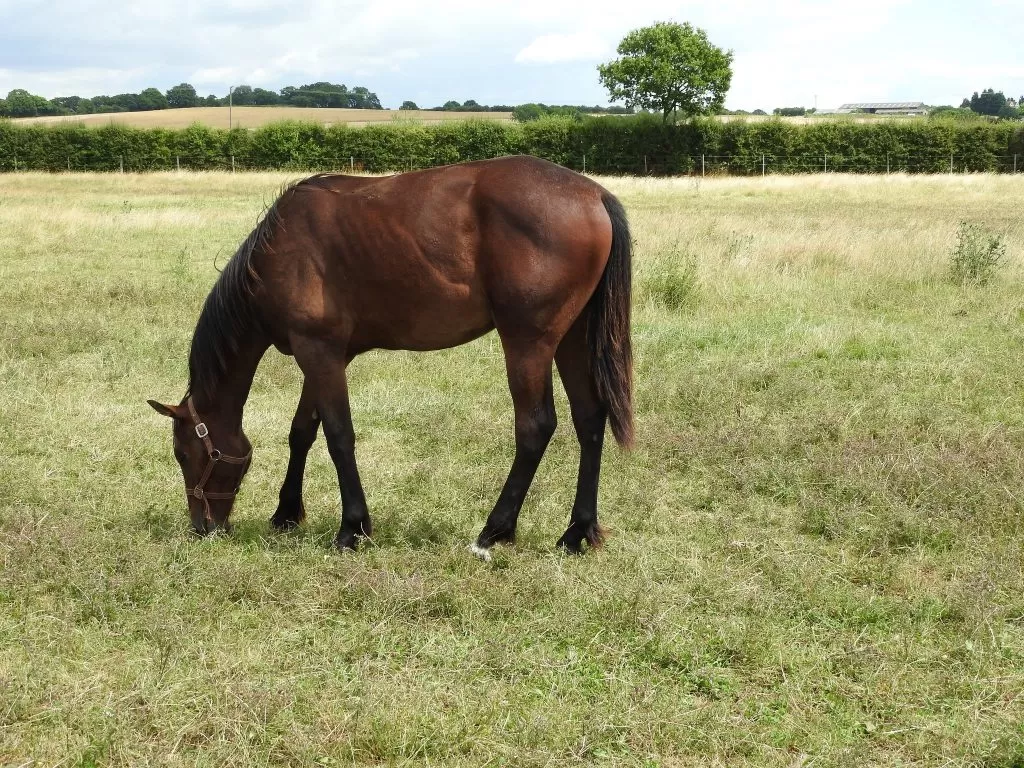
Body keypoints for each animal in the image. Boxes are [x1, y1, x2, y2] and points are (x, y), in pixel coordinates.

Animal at [148, 153, 630, 557]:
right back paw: (576, 532)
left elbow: (339, 436)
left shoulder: (318, 352)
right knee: (590, 420)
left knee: (535, 427)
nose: (203, 527)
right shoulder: (325, 356)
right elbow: (302, 431)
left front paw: (352, 528)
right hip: (572, 339)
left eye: (183, 454)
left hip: (528, 342)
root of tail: (595, 195)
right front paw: (286, 513)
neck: (277, 252)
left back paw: (493, 531)